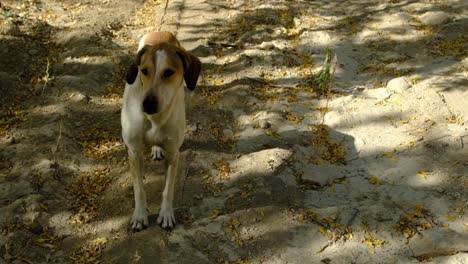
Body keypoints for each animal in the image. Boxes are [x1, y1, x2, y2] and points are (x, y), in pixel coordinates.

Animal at [121, 31, 200, 231]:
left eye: (169, 72)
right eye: (144, 71)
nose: (147, 104)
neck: (154, 119)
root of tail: (163, 33)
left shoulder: (173, 154)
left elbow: (168, 189)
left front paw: (166, 214)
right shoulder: (133, 152)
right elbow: (139, 189)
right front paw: (140, 215)